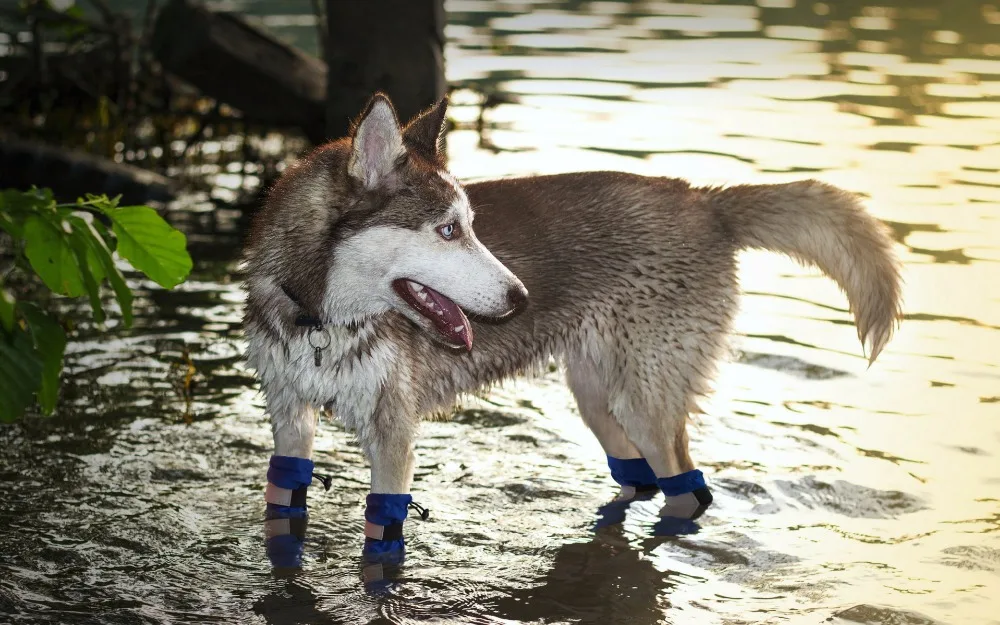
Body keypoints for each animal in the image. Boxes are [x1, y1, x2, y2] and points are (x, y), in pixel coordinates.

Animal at [244, 91, 908, 552]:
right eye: (448, 230)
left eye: (471, 225)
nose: (520, 297)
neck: (319, 321)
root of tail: (702, 198)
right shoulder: (290, 423)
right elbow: (282, 508)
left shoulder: (393, 439)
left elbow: (382, 544)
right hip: (597, 395)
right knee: (638, 478)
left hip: (645, 399)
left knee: (686, 489)